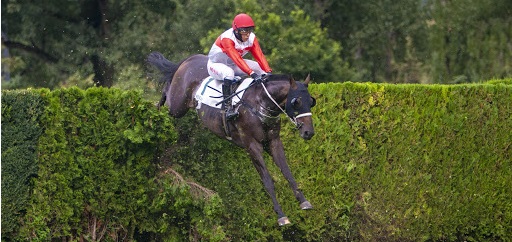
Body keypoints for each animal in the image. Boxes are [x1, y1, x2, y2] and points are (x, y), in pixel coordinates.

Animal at [146, 52, 316, 226]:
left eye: (311, 102)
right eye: (296, 102)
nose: (308, 132)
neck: (260, 103)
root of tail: (189, 59)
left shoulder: (273, 142)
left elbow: (288, 173)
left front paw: (304, 201)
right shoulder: (252, 145)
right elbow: (267, 180)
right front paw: (281, 216)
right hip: (178, 106)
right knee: (166, 95)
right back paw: (153, 115)